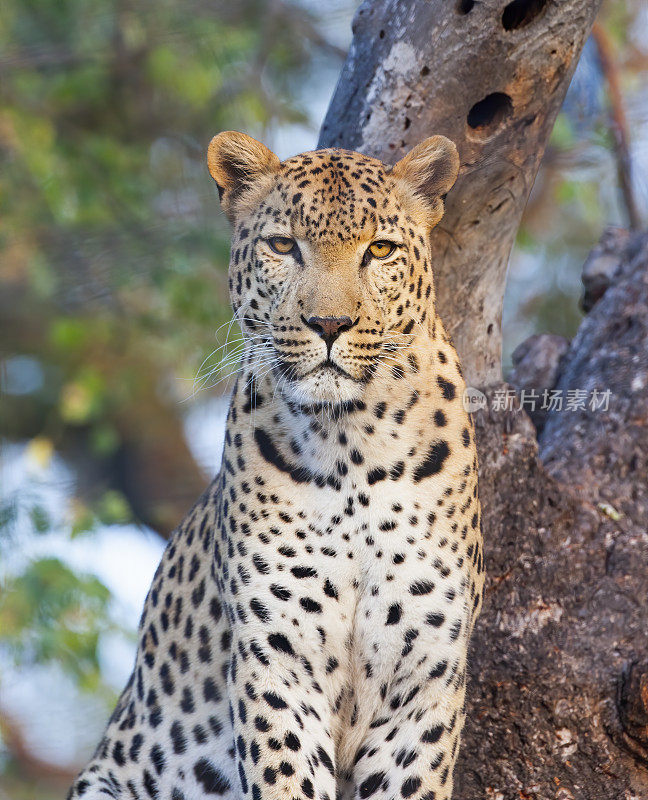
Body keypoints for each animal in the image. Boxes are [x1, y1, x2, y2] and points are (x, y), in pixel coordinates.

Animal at [68, 131, 484, 800]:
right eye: (284, 246)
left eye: (380, 249)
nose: (330, 324)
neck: (351, 447)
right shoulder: (276, 660)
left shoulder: (424, 676)